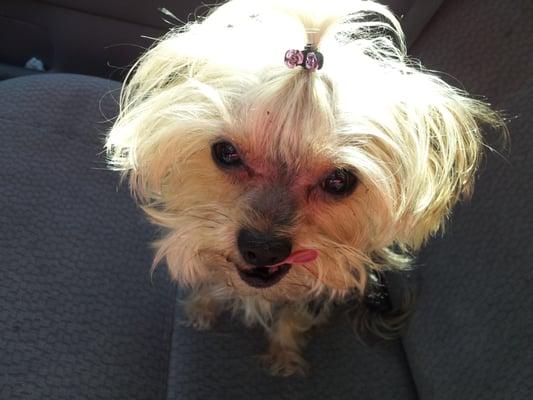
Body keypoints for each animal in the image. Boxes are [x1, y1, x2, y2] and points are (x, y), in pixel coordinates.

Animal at [104, 0, 502, 376]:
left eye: (339, 180)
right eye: (226, 153)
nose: (263, 249)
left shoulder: (318, 288)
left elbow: (292, 318)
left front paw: (284, 355)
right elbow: (207, 273)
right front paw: (203, 307)